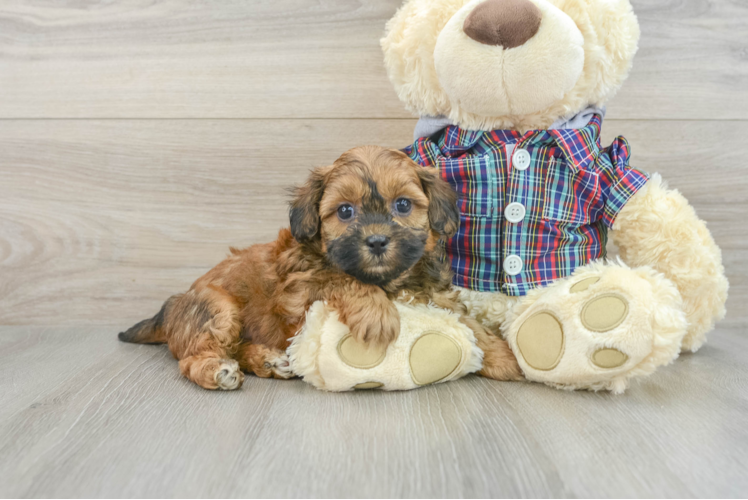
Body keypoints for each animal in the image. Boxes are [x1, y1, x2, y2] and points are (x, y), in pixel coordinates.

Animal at [120, 146, 524, 388]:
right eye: (345, 211)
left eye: (403, 205)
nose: (377, 242)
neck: (392, 281)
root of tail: (171, 309)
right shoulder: (301, 293)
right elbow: (342, 278)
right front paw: (377, 314)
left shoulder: (437, 298)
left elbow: (470, 324)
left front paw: (505, 356)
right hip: (216, 308)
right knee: (195, 356)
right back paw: (217, 371)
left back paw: (269, 361)